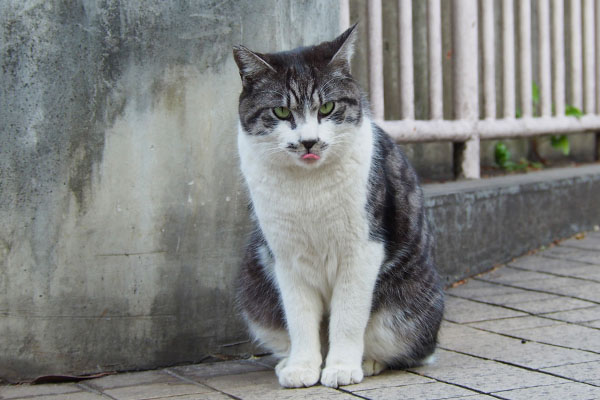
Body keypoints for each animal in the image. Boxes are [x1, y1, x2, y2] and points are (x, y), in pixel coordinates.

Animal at [232, 25, 442, 388]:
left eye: (328, 107)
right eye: (281, 112)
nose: (309, 141)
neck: (308, 188)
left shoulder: (362, 250)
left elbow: (347, 316)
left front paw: (342, 367)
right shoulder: (286, 257)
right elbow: (299, 318)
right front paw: (302, 368)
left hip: (408, 311)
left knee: (414, 350)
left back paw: (367, 362)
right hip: (253, 280)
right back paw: (288, 362)